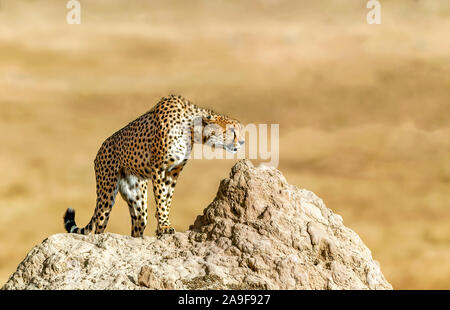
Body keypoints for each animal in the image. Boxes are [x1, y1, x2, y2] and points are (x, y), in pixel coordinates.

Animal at [62, 94, 244, 237]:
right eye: (233, 131)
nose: (242, 142)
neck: (191, 128)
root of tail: (101, 148)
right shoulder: (160, 169)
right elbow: (162, 199)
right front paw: (163, 227)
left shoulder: (173, 171)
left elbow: (167, 199)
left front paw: (164, 224)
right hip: (106, 191)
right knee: (100, 222)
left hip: (137, 197)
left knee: (138, 223)